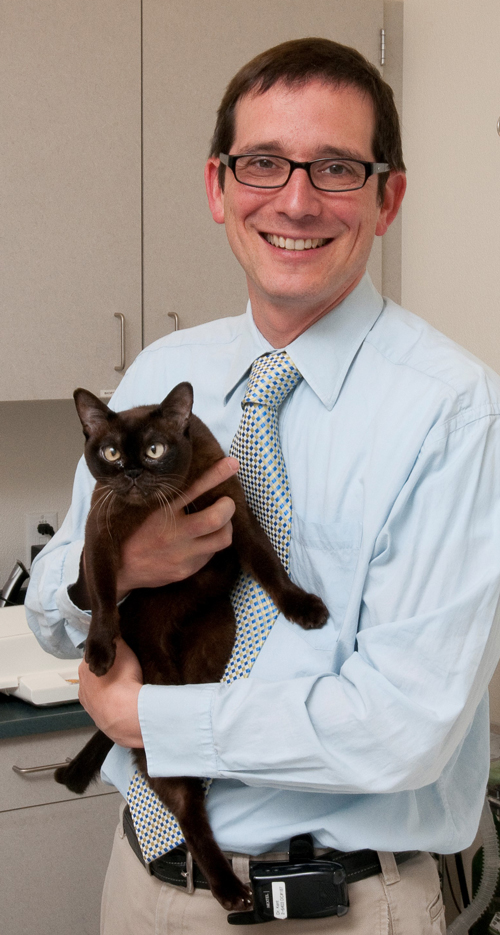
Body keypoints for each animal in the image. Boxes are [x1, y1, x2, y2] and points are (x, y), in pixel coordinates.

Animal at [55, 382, 328, 916]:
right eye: (111, 453)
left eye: (155, 449)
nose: (133, 472)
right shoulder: (101, 529)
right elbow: (100, 597)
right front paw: (99, 653)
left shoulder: (236, 516)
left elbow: (272, 569)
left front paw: (304, 608)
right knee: (185, 808)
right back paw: (230, 892)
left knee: (189, 785)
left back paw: (233, 891)